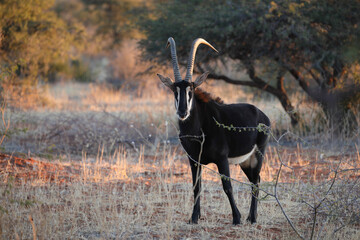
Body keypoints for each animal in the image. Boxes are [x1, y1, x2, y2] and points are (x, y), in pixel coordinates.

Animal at [158, 37, 270, 225]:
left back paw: (252, 218)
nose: (182, 112)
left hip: (258, 154)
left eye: (191, 89)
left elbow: (227, 187)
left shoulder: (222, 159)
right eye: (175, 90)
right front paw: (194, 218)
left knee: (255, 181)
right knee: (256, 179)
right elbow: (196, 187)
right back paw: (250, 216)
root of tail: (262, 114)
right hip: (245, 161)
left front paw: (236, 218)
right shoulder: (193, 160)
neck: (198, 129)